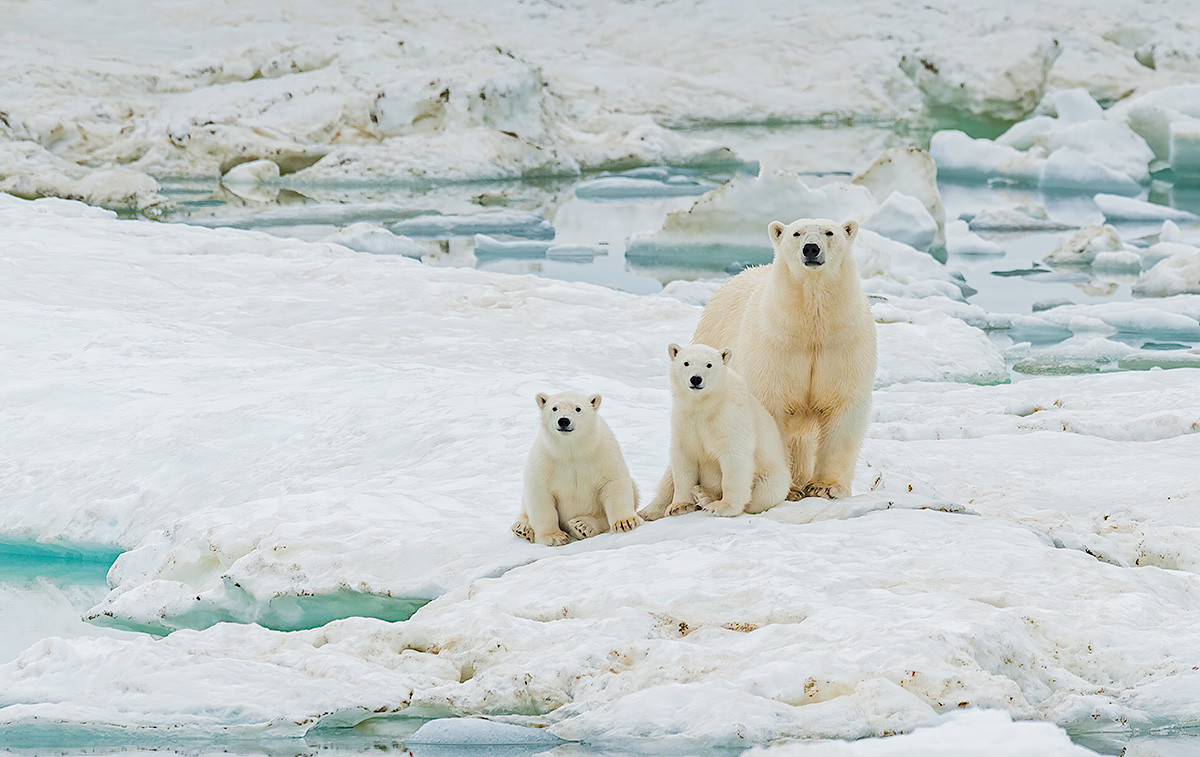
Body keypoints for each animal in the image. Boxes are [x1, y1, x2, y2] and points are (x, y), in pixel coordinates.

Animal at [691, 217, 878, 503]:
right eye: (796, 233)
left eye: (829, 232)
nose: (811, 249)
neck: (811, 328)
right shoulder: (775, 347)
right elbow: (771, 407)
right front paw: (789, 489)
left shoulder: (843, 344)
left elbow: (842, 406)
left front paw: (825, 487)